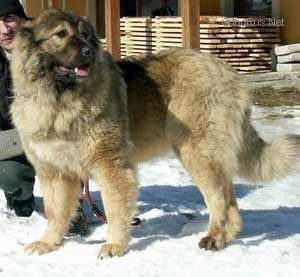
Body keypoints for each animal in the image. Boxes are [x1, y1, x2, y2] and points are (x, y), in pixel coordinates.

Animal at [9, 8, 300, 258]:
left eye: (85, 35)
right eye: (61, 34)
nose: (89, 50)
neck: (58, 101)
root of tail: (227, 71)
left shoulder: (110, 165)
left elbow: (114, 210)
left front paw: (114, 246)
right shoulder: (54, 171)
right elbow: (55, 212)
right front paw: (49, 243)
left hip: (196, 152)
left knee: (220, 200)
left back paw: (214, 237)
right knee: (229, 199)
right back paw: (225, 237)